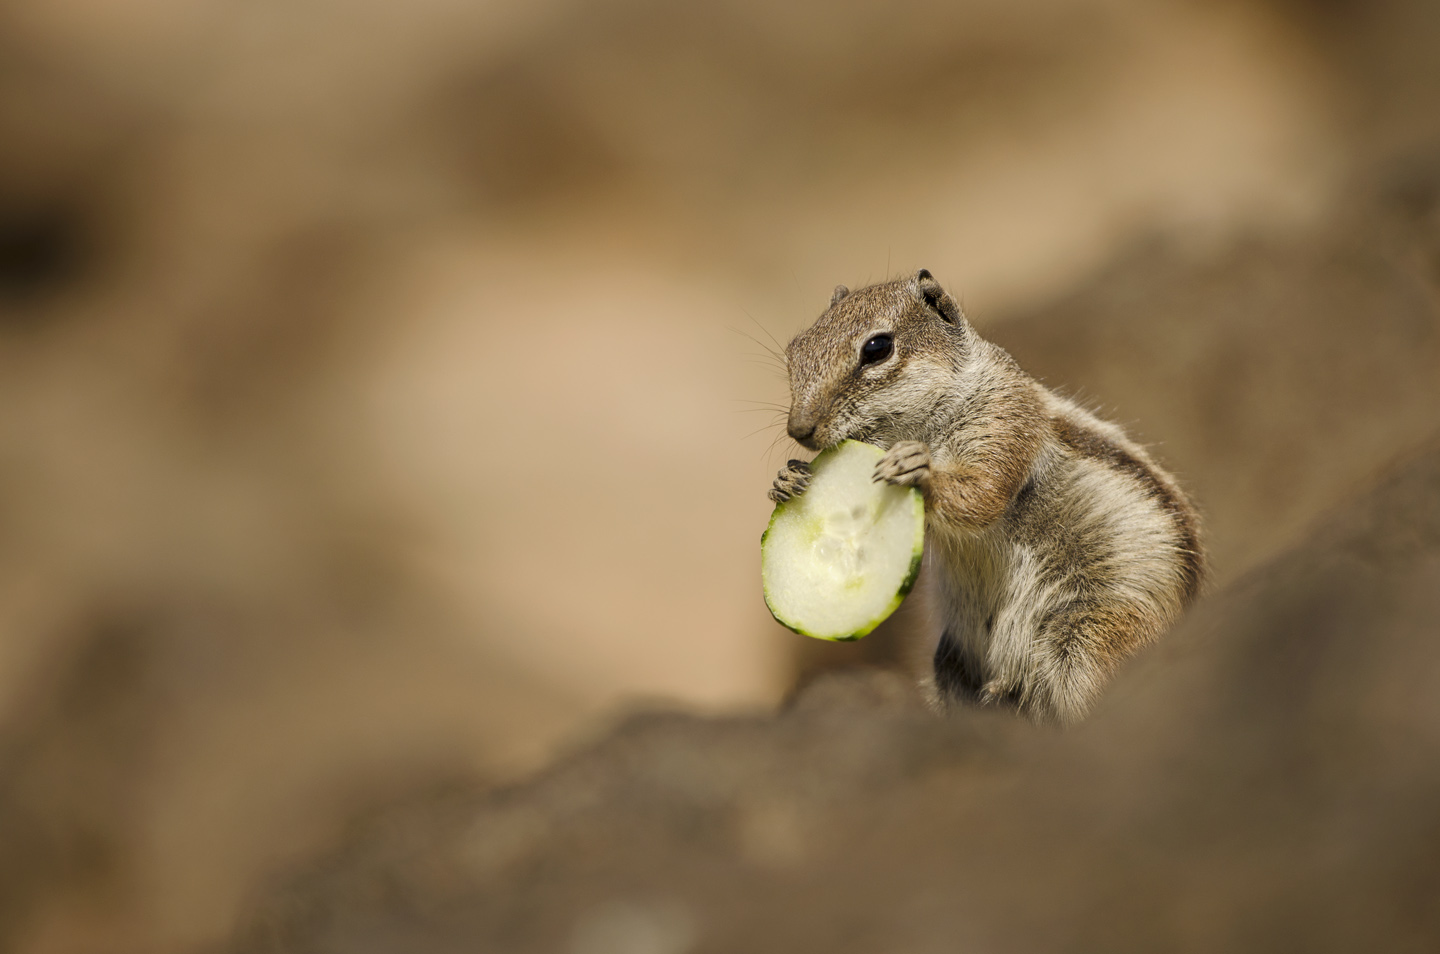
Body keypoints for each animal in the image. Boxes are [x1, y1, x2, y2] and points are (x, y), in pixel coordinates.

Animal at [766, 269, 1203, 726]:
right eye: (795, 350)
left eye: (877, 348)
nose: (799, 429)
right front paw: (786, 480)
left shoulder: (1005, 418)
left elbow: (983, 493)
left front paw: (918, 473)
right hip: (950, 658)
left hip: (1089, 637)